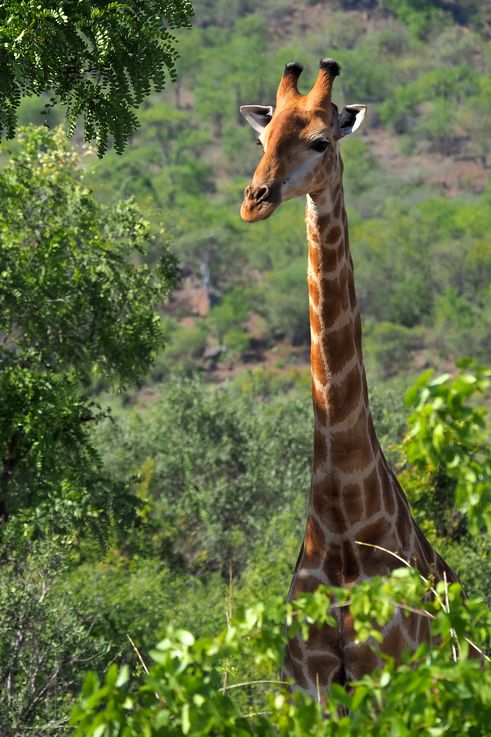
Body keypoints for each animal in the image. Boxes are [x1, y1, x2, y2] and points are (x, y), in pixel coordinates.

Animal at [239, 57, 462, 696]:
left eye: (320, 140)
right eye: (261, 139)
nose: (254, 200)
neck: (339, 525)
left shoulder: (388, 680)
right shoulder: (306, 687)